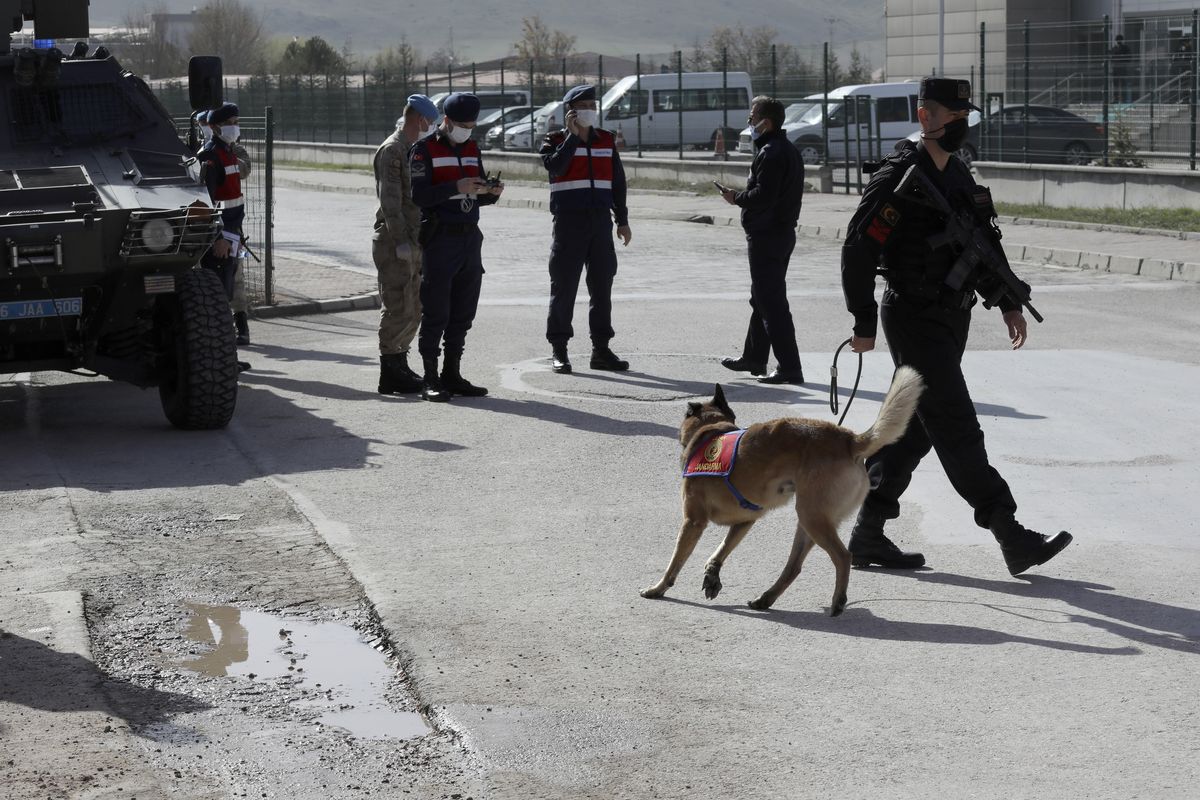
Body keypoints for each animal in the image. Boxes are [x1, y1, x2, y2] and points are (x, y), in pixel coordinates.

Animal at [643, 367, 921, 618]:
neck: (713, 429)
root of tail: (848, 439)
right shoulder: (745, 522)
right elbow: (721, 549)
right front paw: (712, 573)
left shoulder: (693, 522)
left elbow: (675, 562)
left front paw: (659, 588)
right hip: (809, 521)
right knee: (794, 567)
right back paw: (766, 598)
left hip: (811, 516)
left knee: (843, 556)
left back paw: (837, 601)